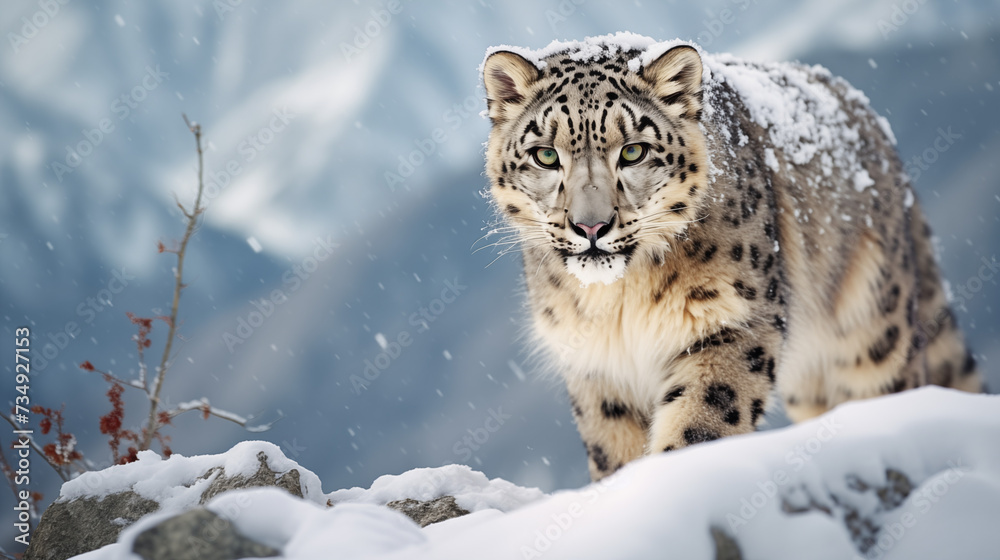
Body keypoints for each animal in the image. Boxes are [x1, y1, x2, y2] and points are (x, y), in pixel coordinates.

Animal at [479, 34, 983, 481]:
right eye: (546, 156)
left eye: (634, 151)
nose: (591, 227)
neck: (620, 303)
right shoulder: (596, 366)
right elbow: (613, 451)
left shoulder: (731, 324)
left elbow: (701, 423)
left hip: (874, 336)